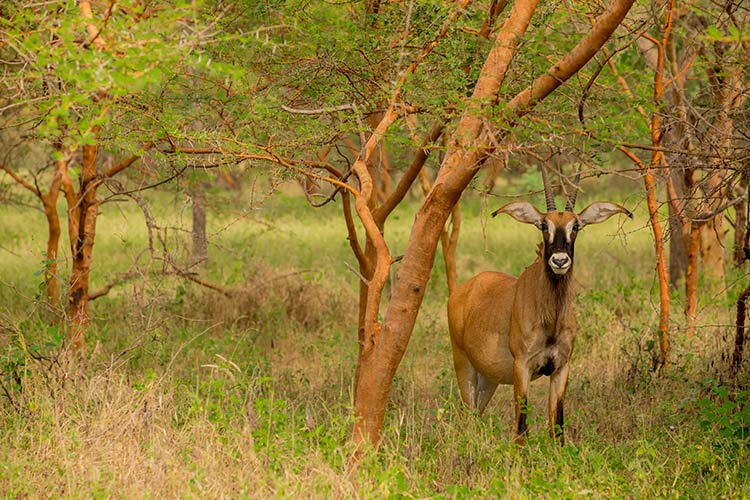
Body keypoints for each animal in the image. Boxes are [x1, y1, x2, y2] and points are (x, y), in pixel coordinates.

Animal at [450, 169, 632, 446]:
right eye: (544, 225)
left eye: (576, 226)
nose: (560, 261)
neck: (551, 319)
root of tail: (461, 290)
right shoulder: (522, 366)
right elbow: (522, 425)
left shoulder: (561, 367)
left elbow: (557, 424)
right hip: (463, 366)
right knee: (466, 415)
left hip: (488, 378)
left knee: (475, 414)